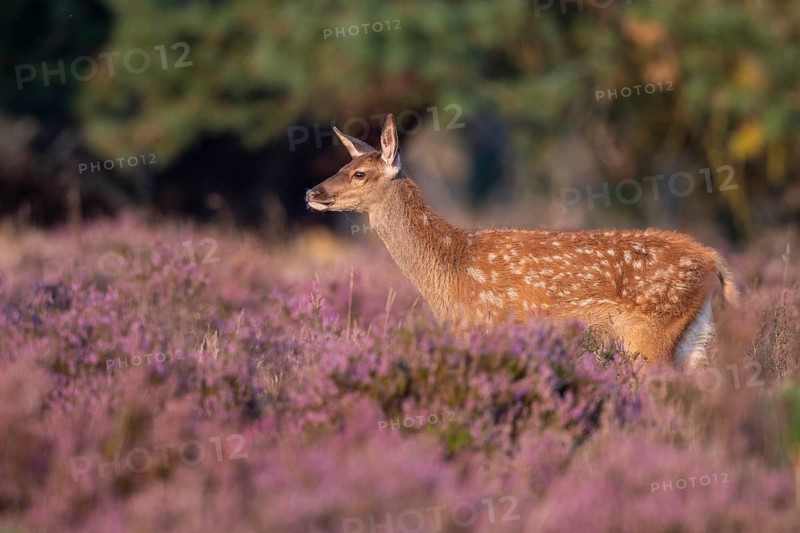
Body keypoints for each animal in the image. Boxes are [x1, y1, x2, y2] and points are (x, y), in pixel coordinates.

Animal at [305, 114, 739, 367]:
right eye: (344, 165)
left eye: (359, 173)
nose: (312, 192)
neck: (448, 268)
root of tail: (712, 259)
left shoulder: (479, 327)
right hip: (691, 339)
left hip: (650, 333)